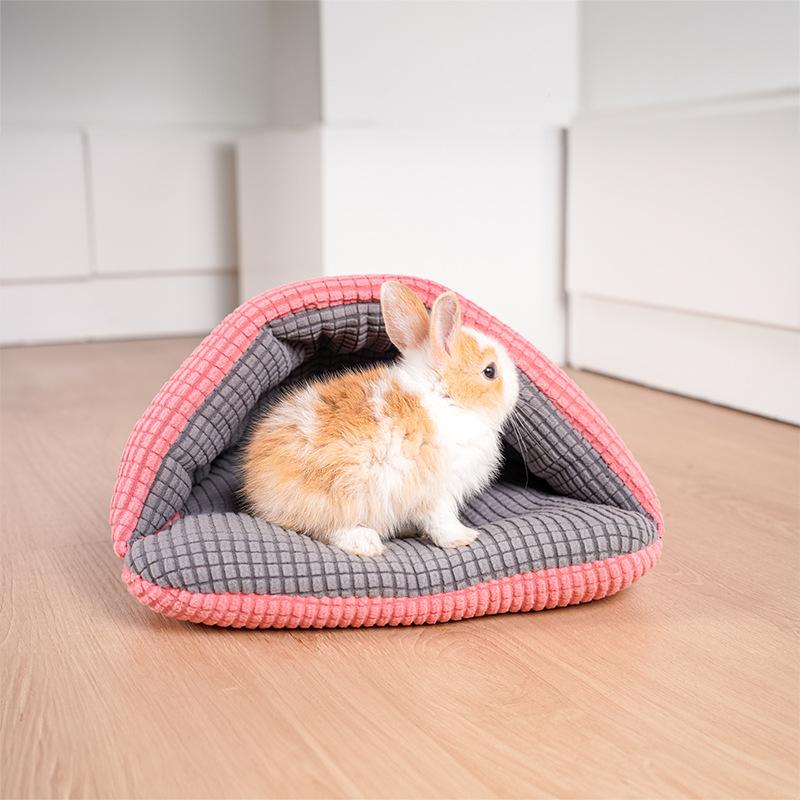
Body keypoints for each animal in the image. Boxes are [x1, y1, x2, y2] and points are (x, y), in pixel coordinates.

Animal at [241, 281, 519, 556]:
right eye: (490, 371)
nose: (517, 389)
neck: (444, 397)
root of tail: (257, 490)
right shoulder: (436, 492)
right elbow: (441, 520)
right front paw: (463, 538)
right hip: (338, 495)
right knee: (326, 528)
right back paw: (366, 543)